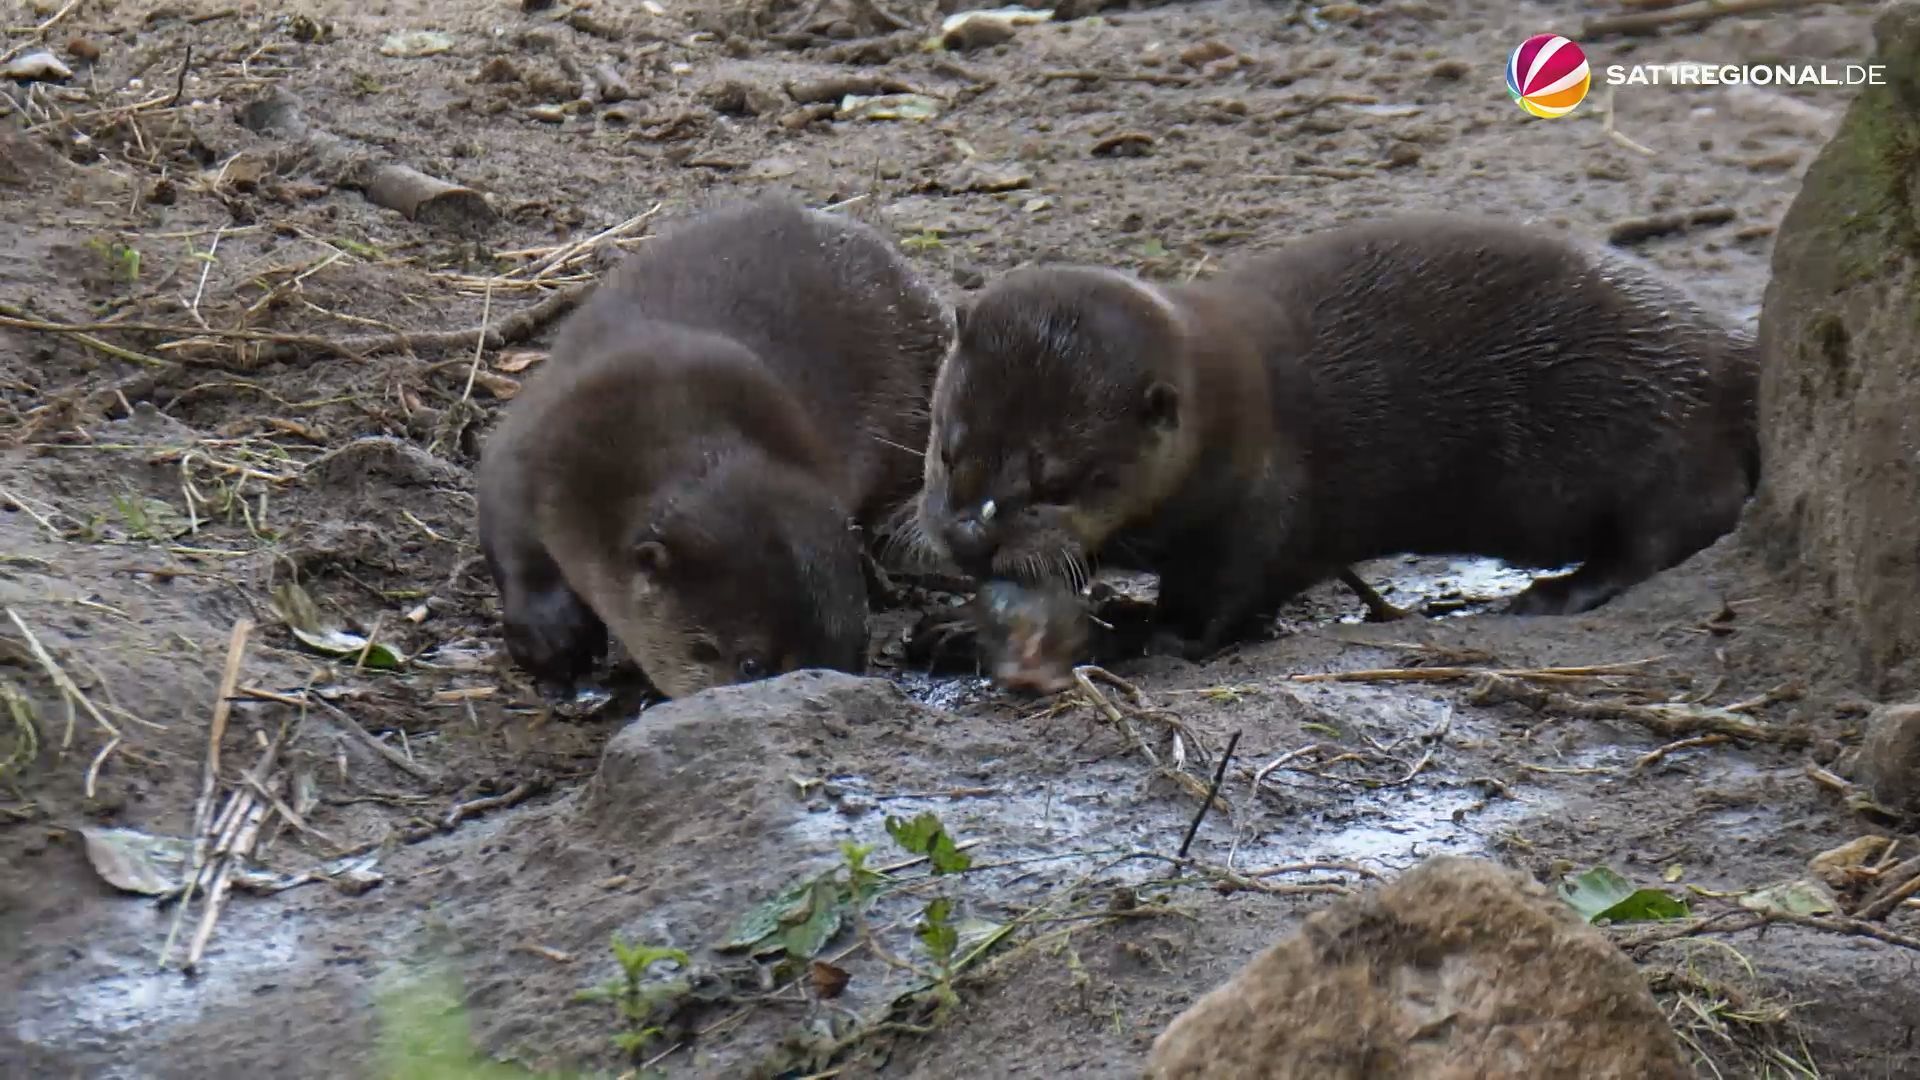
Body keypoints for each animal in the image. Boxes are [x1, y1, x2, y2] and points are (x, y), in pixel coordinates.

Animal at [477, 200, 952, 697]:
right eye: (751, 665)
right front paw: (553, 636)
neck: (661, 417)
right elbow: (509, 535)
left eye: (858, 649)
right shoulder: (530, 446)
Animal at [914, 214, 1758, 659]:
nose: (969, 535)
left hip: (1657, 422)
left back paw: (1556, 593)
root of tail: (1728, 345)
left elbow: (1225, 597)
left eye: (1057, 481)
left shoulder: (1263, 510)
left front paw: (1145, 632)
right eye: (948, 450)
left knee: (1680, 524)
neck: (1235, 417)